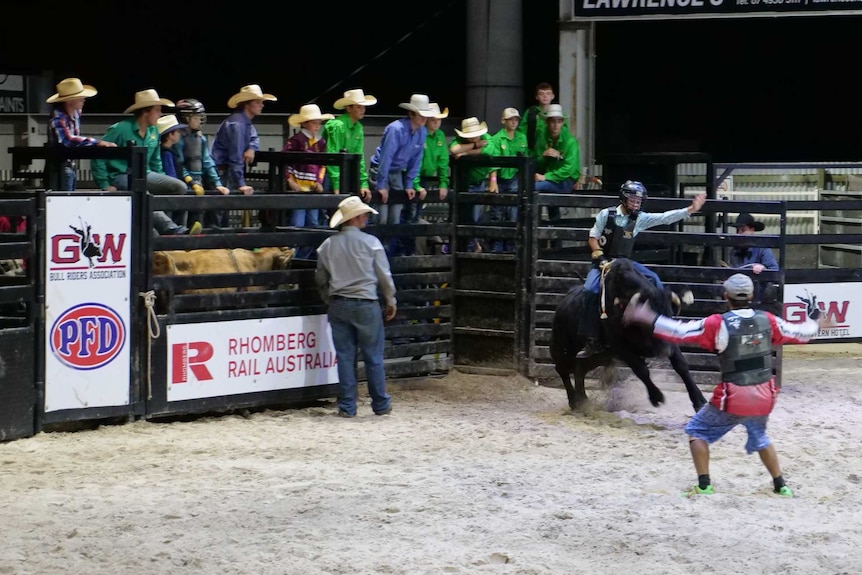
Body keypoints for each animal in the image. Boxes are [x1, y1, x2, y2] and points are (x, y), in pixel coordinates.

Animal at [552, 258, 708, 412]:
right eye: (648, 320)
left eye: (669, 315)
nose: (665, 351)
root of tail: (562, 303)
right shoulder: (620, 347)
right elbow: (641, 370)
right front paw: (656, 397)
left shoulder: (670, 343)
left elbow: (681, 366)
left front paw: (699, 400)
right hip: (561, 351)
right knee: (563, 371)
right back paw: (574, 401)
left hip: (595, 358)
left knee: (579, 372)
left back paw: (582, 401)